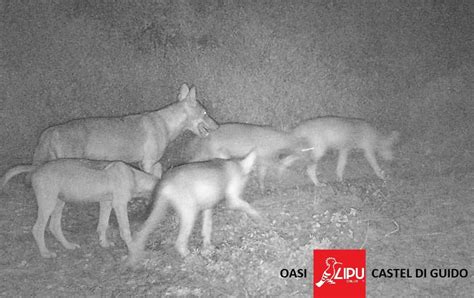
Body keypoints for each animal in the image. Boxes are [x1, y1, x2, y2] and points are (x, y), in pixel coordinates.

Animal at [1, 158, 161, 258]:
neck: (133, 176)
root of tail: (37, 167)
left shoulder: (106, 203)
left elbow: (102, 225)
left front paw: (103, 243)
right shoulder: (119, 204)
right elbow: (125, 231)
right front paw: (134, 251)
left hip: (59, 203)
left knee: (54, 227)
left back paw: (68, 246)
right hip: (48, 205)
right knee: (38, 229)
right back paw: (45, 253)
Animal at [126, 151, 262, 266]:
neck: (234, 165)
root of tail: (165, 179)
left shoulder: (208, 207)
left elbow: (207, 228)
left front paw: (207, 247)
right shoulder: (232, 199)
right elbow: (248, 207)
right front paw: (261, 218)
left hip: (160, 211)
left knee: (141, 233)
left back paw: (134, 259)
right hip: (189, 213)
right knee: (179, 243)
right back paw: (191, 258)